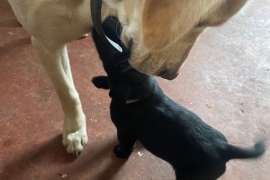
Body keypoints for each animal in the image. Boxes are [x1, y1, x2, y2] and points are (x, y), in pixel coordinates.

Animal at [91, 17, 266, 180]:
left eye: (114, 54)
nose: (108, 19)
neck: (142, 96)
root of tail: (224, 148)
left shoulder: (124, 132)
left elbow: (126, 145)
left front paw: (120, 152)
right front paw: (99, 81)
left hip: (189, 175)